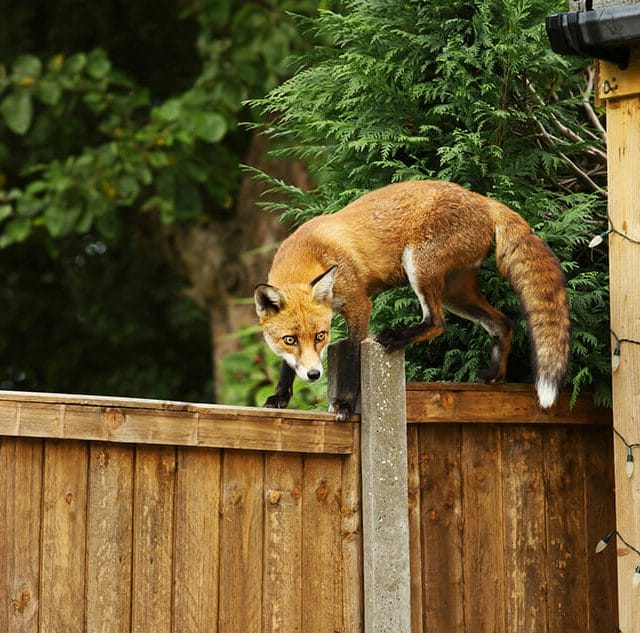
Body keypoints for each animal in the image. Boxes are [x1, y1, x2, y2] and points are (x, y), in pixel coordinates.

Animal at [255, 180, 568, 422]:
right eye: (290, 339)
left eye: (321, 336)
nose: (314, 374)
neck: (311, 252)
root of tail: (483, 199)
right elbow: (287, 364)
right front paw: (280, 396)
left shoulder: (359, 305)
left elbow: (354, 357)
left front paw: (345, 404)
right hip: (456, 293)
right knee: (502, 323)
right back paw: (494, 374)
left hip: (419, 268)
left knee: (437, 322)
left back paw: (395, 337)